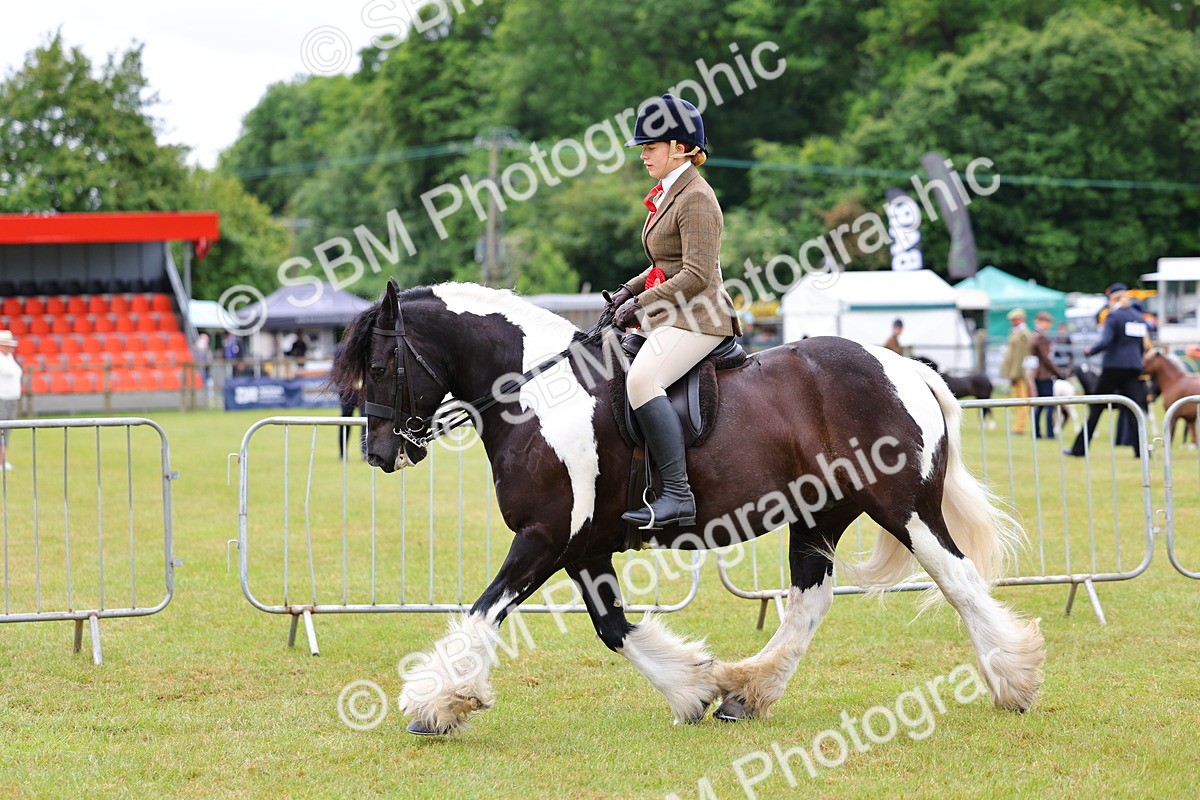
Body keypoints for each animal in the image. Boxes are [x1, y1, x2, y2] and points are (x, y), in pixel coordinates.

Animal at [330, 279, 1044, 736]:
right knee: (809, 602)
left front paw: (437, 703)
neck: (538, 393)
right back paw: (746, 693)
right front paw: (695, 689)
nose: (378, 451)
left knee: (958, 580)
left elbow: (484, 611)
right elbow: (614, 628)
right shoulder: (583, 549)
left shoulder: (544, 538)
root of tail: (907, 368)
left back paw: (1013, 681)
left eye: (383, 362)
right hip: (820, 518)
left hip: (906, 509)